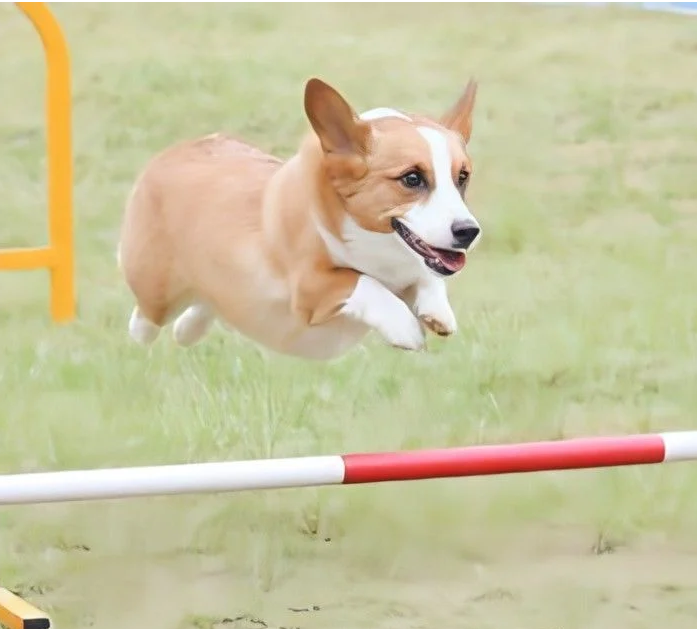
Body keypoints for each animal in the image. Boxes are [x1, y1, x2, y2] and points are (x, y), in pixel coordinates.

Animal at [117, 78, 482, 360]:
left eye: (462, 177)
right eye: (412, 178)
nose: (469, 232)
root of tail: (170, 153)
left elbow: (427, 278)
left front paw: (437, 312)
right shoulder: (309, 288)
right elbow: (361, 281)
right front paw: (405, 329)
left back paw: (187, 330)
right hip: (156, 293)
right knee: (145, 319)